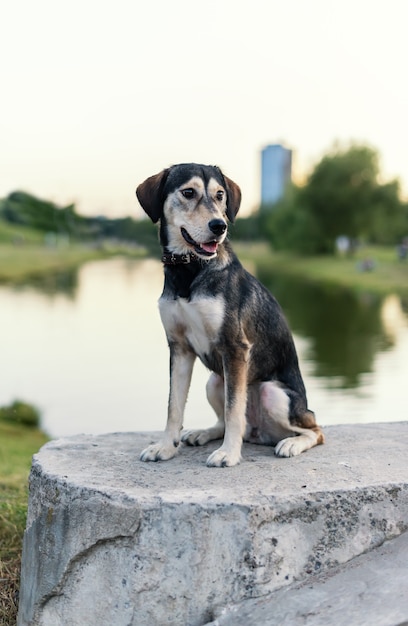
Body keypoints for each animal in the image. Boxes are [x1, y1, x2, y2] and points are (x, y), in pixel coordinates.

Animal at [137, 163, 326, 466]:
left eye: (220, 195)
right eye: (188, 193)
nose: (219, 226)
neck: (190, 271)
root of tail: (258, 434)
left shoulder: (235, 347)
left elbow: (233, 408)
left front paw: (229, 453)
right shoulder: (179, 348)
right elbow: (173, 406)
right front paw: (165, 447)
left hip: (273, 393)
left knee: (316, 430)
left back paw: (291, 443)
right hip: (215, 381)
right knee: (225, 420)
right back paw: (203, 433)